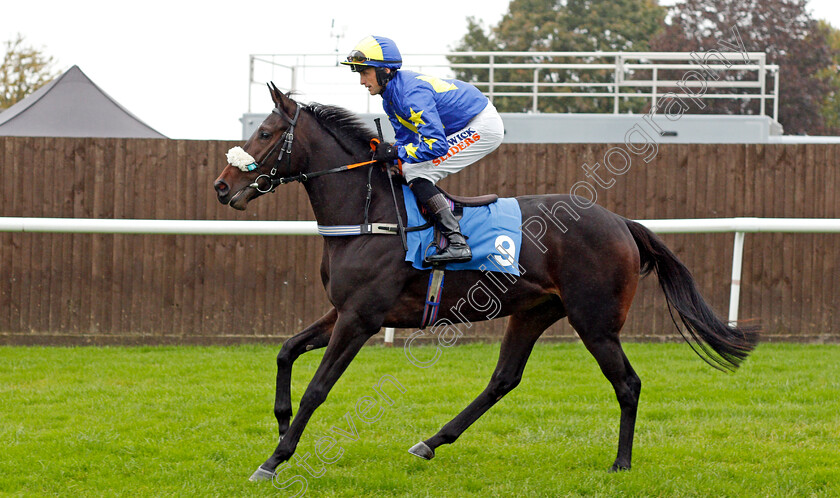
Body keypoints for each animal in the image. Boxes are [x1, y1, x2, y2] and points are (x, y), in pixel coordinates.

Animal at [213, 83, 756, 480]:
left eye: (266, 133)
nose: (221, 187)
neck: (370, 215)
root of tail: (622, 222)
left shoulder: (360, 318)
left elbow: (318, 388)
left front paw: (274, 460)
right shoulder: (342, 310)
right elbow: (286, 350)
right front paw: (280, 424)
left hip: (595, 322)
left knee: (627, 382)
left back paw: (621, 463)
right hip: (533, 313)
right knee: (503, 379)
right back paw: (430, 442)